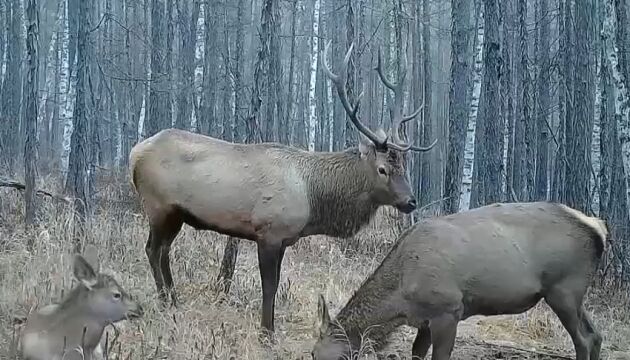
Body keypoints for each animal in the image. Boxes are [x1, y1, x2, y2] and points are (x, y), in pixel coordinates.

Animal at [128, 40, 434, 336]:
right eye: (382, 169)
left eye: (404, 165)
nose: (411, 201)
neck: (313, 198)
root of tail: (134, 153)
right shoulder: (269, 231)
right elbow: (269, 286)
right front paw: (267, 333)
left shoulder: (285, 238)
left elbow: (274, 287)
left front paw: (270, 329)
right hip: (158, 206)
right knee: (153, 250)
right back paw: (165, 302)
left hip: (176, 214)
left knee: (164, 251)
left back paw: (173, 301)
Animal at [314, 202, 608, 360]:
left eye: (316, 354)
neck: (400, 300)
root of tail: (599, 228)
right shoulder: (424, 320)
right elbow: (416, 352)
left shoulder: (449, 310)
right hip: (573, 294)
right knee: (595, 335)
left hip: (563, 288)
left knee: (583, 339)